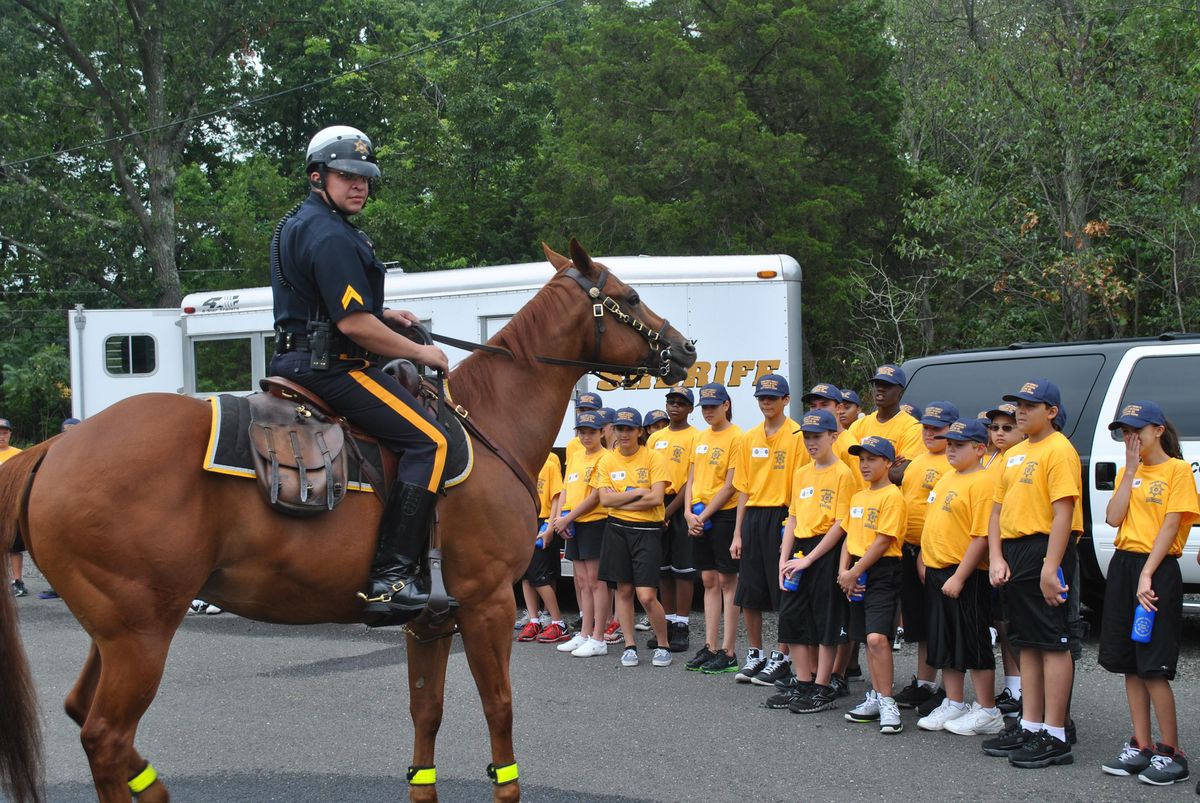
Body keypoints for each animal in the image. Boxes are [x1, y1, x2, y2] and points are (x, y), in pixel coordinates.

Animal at [0, 237, 696, 801]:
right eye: (630, 295)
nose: (686, 348)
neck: (489, 420)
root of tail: (55, 448)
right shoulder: (487, 602)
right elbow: (498, 708)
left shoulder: (430, 618)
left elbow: (427, 713)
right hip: (141, 633)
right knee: (105, 736)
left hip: (117, 631)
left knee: (84, 716)